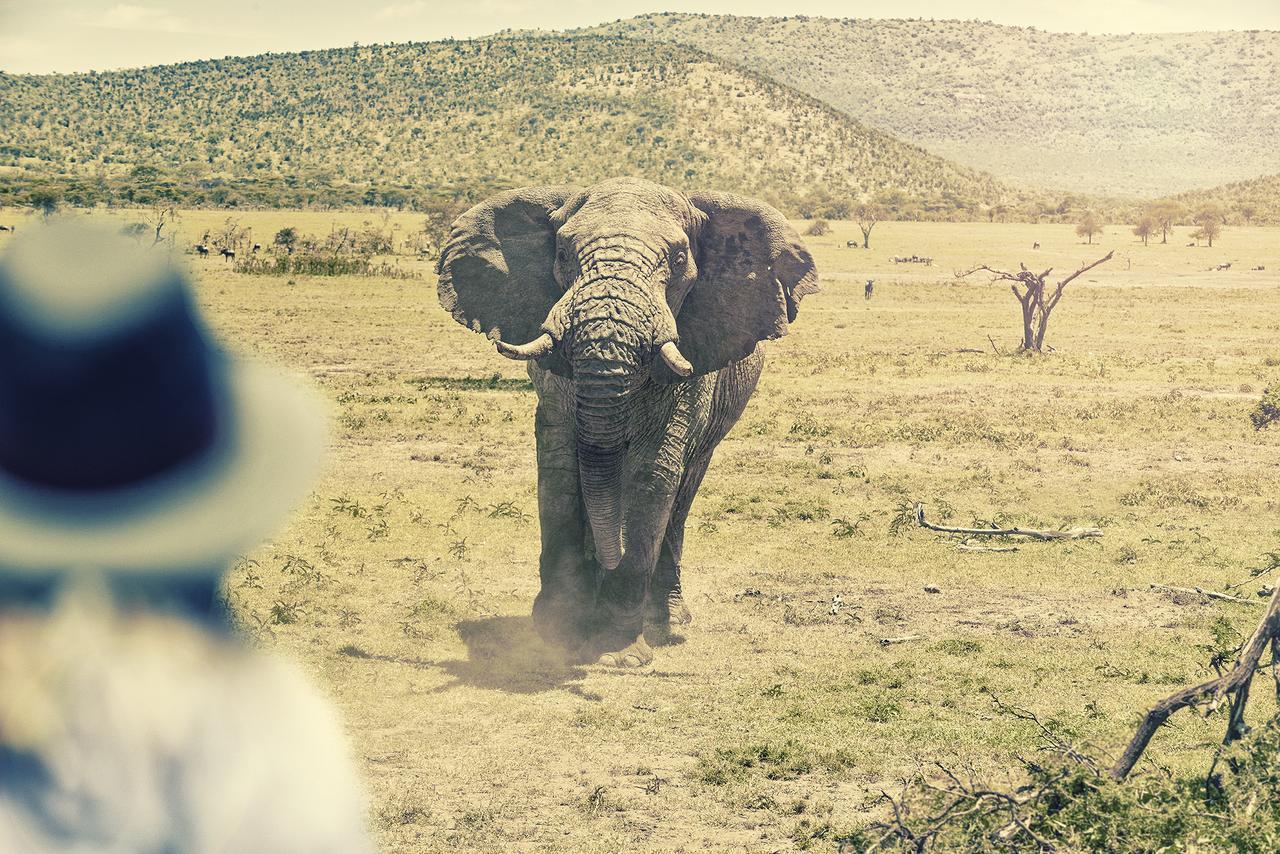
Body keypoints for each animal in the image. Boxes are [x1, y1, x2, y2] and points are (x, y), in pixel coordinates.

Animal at [435, 175, 814, 665]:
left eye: (678, 259)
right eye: (562, 252)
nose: (607, 559)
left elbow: (651, 476)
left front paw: (617, 651)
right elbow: (560, 469)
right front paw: (557, 633)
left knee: (682, 494)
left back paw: (669, 620)